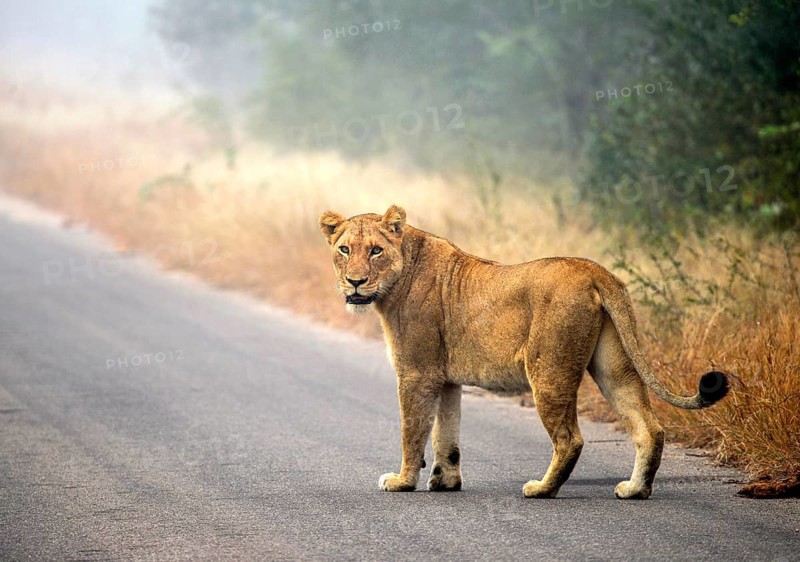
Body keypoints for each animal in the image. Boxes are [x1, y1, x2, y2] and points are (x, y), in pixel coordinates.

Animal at [319, 205, 729, 499]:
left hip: (548, 370)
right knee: (649, 427)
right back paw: (635, 490)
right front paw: (446, 481)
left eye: (375, 251)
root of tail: (596, 272)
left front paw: (403, 481)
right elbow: (445, 433)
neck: (399, 276)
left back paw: (542, 489)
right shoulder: (446, 378)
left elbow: (413, 430)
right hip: (614, 366)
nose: (355, 282)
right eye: (344, 249)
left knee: (570, 438)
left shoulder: (417, 372)